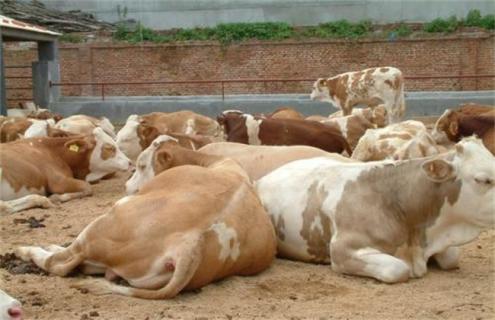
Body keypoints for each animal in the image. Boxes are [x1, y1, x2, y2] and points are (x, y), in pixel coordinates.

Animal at [0, 126, 131, 214]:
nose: (129, 162)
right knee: (4, 206)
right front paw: (56, 197)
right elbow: (87, 187)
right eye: (109, 148)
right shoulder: (58, 182)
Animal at [15, 148, 278, 300]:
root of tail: (190, 241)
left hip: (106, 222)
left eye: (141, 165)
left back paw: (28, 250)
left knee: (59, 263)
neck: (218, 163)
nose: (126, 184)